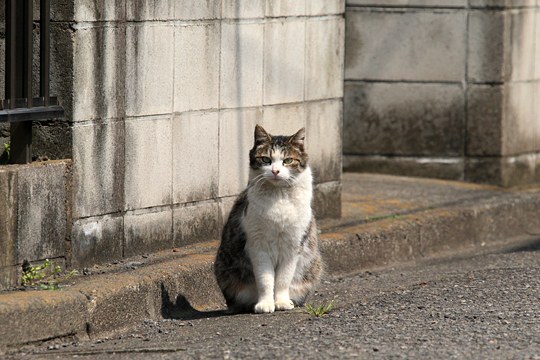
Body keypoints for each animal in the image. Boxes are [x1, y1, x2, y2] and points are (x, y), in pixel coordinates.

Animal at [214, 124, 324, 312]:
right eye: (266, 159)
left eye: (288, 160)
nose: (275, 171)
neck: (279, 196)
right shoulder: (258, 245)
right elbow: (265, 279)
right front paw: (265, 304)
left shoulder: (293, 245)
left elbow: (283, 279)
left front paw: (282, 302)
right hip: (224, 268)